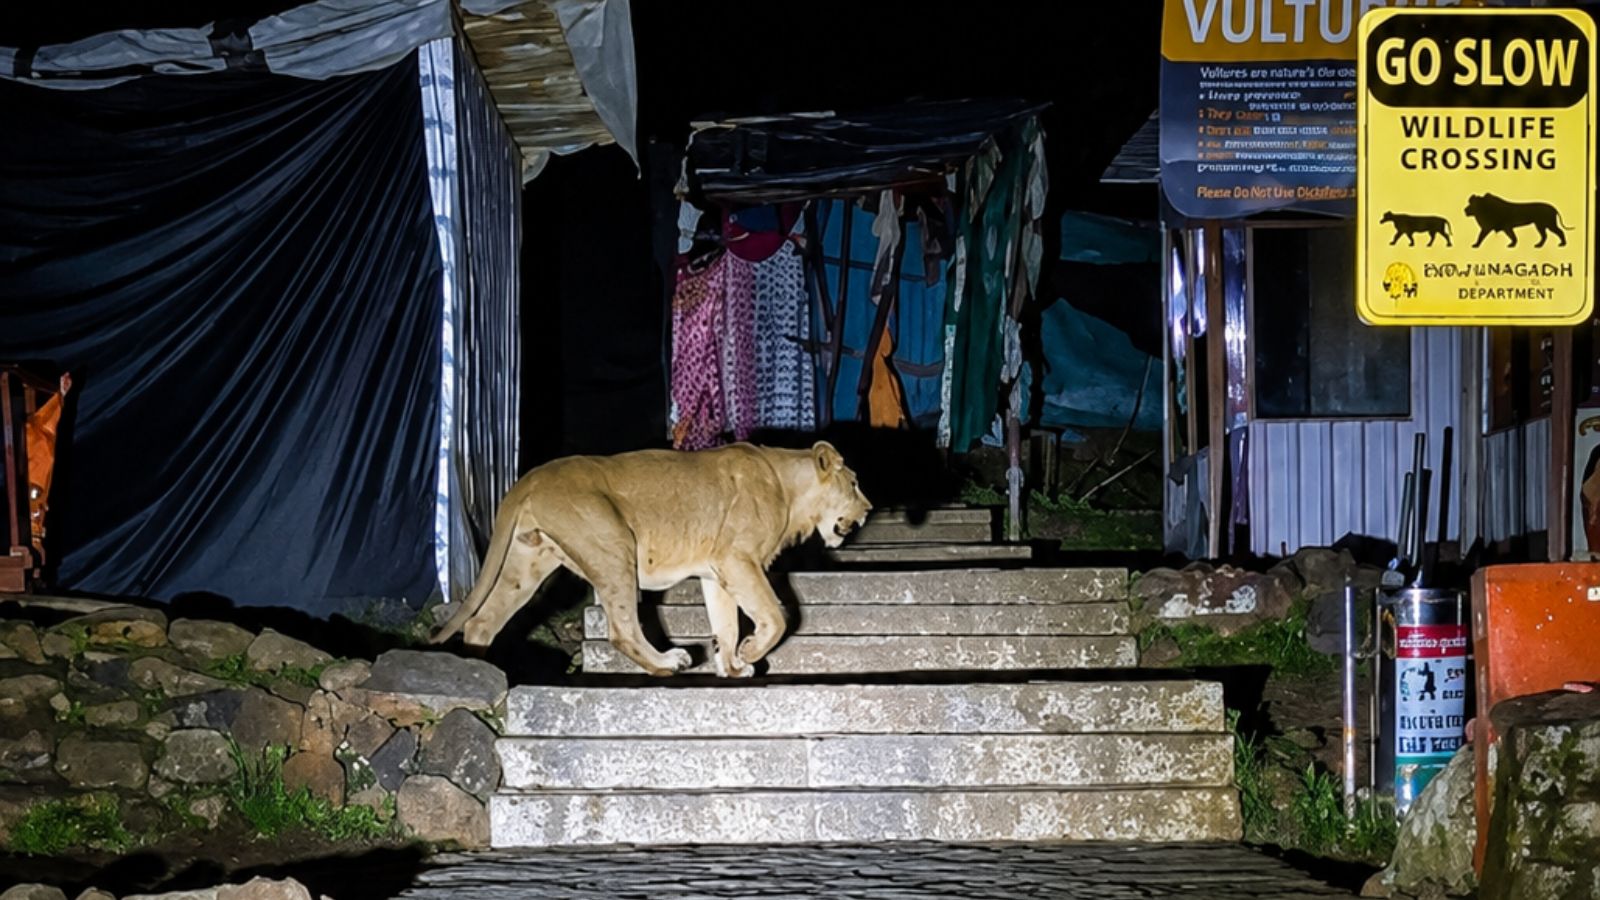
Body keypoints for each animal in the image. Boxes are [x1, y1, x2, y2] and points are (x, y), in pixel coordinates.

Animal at [429, 441, 872, 677]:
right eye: (853, 484)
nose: (868, 510)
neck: (788, 488)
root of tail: (530, 477)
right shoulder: (738, 558)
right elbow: (776, 617)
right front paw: (749, 654)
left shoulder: (717, 570)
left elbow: (726, 624)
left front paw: (731, 666)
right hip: (614, 545)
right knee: (622, 629)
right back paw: (666, 662)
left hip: (527, 561)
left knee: (482, 621)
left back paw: (480, 669)